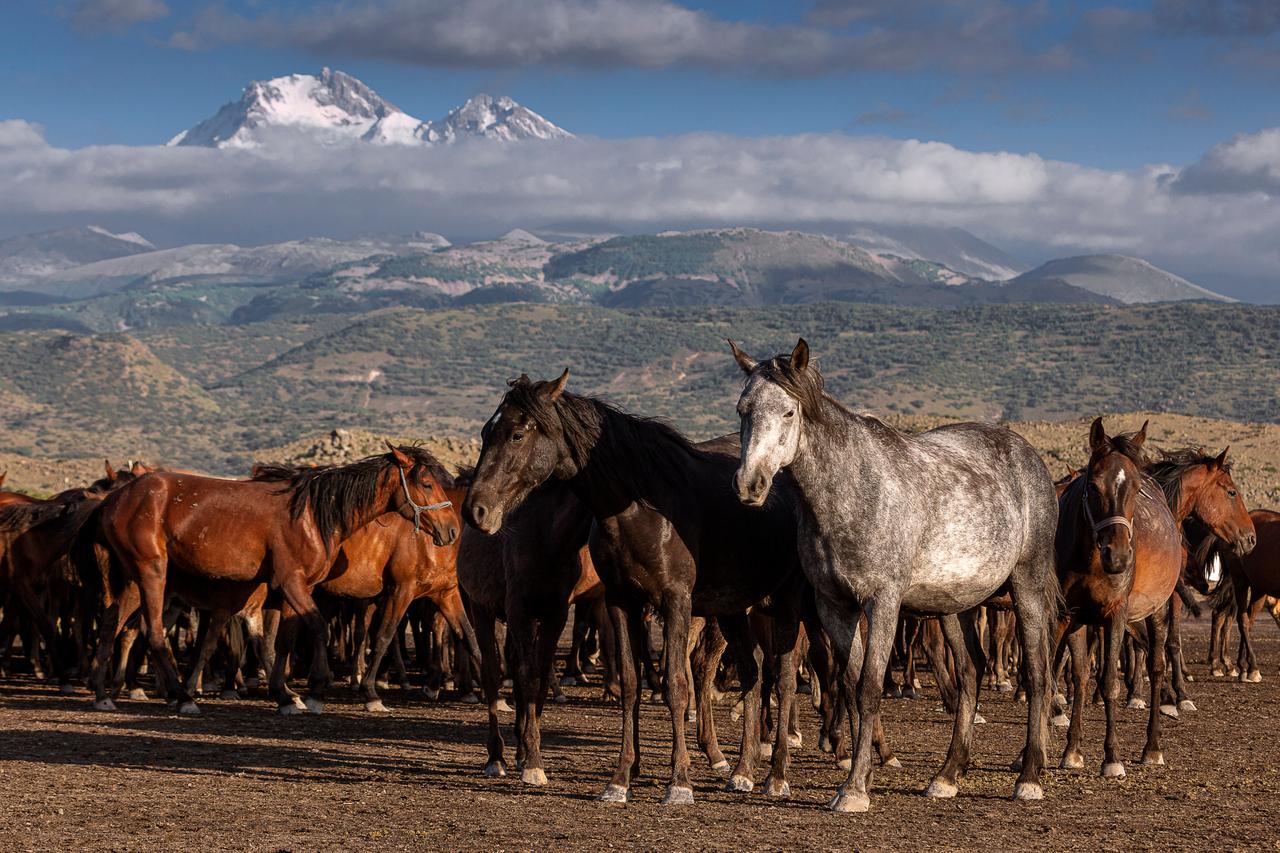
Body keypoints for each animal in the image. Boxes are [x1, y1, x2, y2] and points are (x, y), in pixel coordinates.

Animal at [81, 444, 457, 715]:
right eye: (427, 483)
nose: (452, 530)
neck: (312, 515)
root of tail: (114, 499)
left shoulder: (295, 588)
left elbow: (283, 639)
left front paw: (286, 695)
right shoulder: (292, 583)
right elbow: (317, 629)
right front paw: (317, 690)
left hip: (133, 579)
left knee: (111, 625)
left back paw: (102, 693)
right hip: (152, 573)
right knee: (153, 631)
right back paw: (181, 696)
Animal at [463, 372, 809, 805]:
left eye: (517, 434)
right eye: (485, 431)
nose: (475, 510)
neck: (641, 505)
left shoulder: (677, 602)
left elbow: (676, 684)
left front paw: (679, 782)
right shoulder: (621, 602)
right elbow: (630, 683)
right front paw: (620, 778)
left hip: (785, 605)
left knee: (783, 679)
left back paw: (776, 775)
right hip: (734, 611)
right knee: (753, 675)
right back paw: (743, 770)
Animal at [727, 338, 1059, 811]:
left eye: (789, 412)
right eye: (743, 410)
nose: (749, 485)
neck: (852, 492)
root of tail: (1028, 454)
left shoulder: (882, 602)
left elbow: (869, 688)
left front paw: (854, 790)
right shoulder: (835, 607)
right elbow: (849, 684)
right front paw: (857, 773)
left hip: (1027, 585)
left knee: (1036, 673)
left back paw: (1029, 776)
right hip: (955, 606)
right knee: (971, 674)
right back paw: (947, 776)